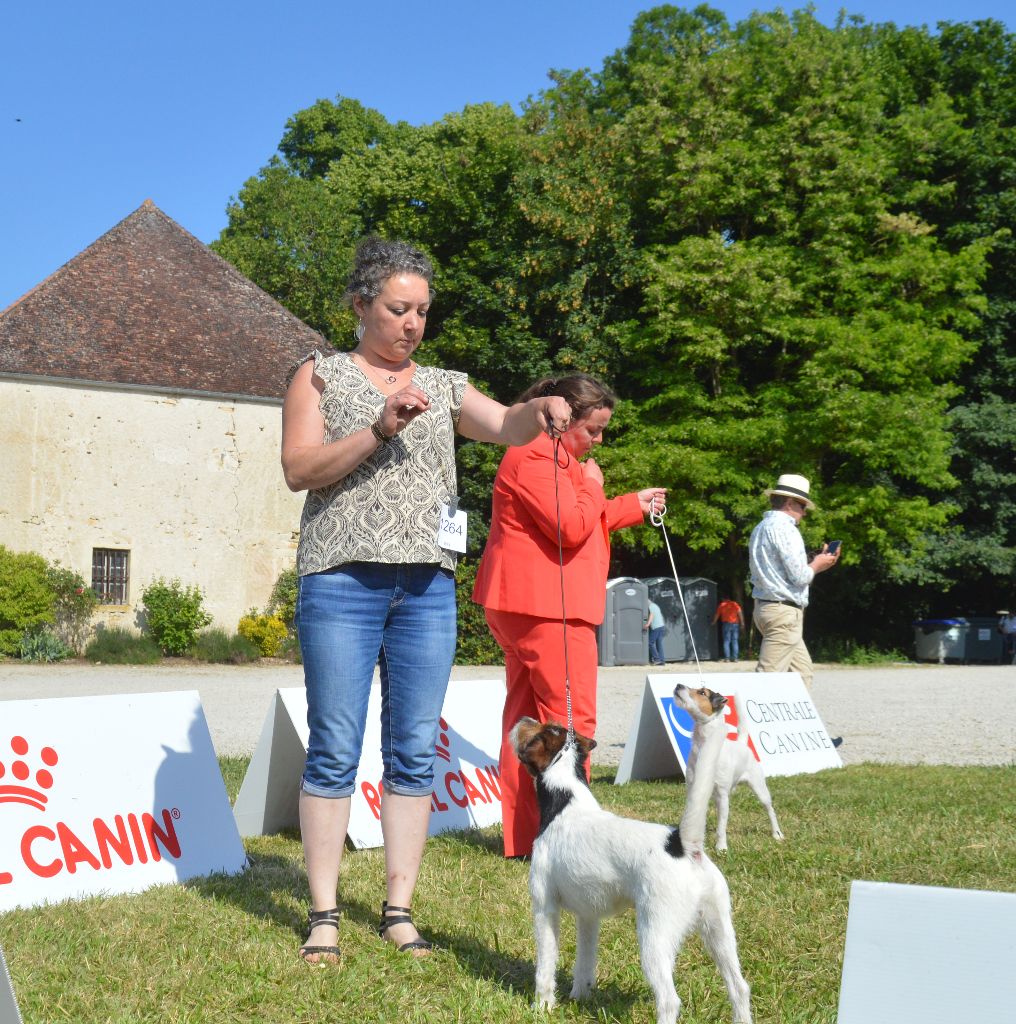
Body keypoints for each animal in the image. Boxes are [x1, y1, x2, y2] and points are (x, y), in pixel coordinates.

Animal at [510, 682, 752, 1024]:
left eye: (540, 730)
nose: (524, 717)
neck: (566, 800)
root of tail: (683, 844)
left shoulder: (544, 908)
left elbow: (545, 967)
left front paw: (542, 1007)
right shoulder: (588, 916)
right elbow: (584, 963)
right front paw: (579, 997)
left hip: (655, 936)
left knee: (669, 1000)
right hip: (719, 929)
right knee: (739, 987)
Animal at [684, 690, 784, 853]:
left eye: (702, 692)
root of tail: (742, 744)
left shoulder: (722, 796)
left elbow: (721, 828)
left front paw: (721, 848)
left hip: (760, 790)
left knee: (770, 810)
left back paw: (777, 834)